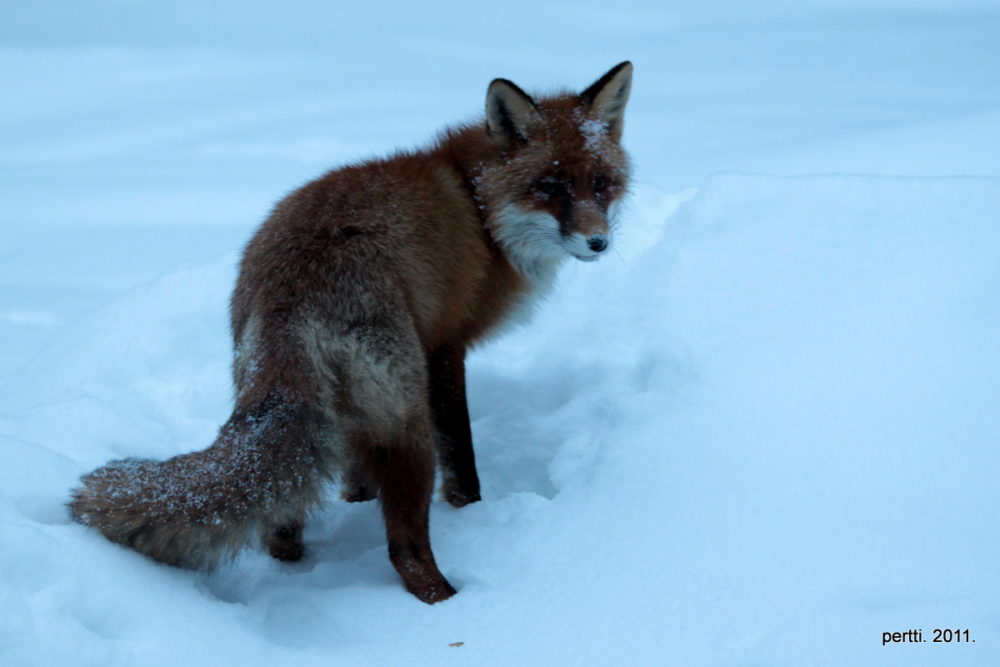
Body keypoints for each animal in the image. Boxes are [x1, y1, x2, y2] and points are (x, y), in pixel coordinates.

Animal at [70, 62, 632, 604]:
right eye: (550, 187)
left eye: (601, 183)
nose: (598, 242)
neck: (480, 213)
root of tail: (289, 295)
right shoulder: (444, 349)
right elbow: (463, 459)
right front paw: (470, 511)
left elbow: (354, 478)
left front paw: (355, 499)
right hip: (408, 422)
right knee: (405, 549)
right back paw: (449, 603)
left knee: (279, 522)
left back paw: (295, 570)